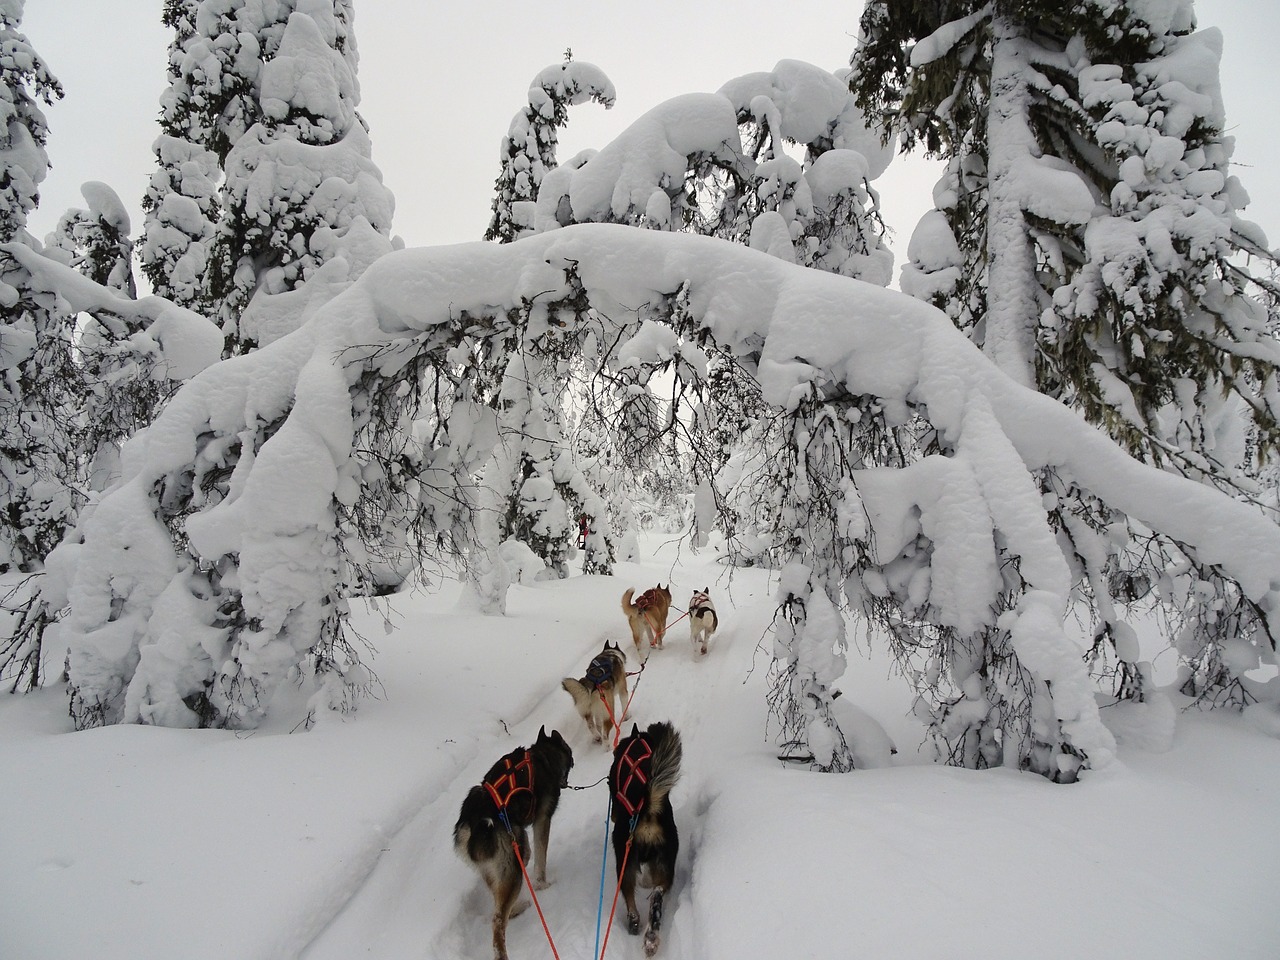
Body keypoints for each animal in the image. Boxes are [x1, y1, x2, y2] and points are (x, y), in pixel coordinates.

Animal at [450, 727, 570, 960]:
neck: (542, 756)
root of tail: (473, 824)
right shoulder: (543, 819)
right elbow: (541, 858)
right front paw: (542, 884)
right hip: (513, 861)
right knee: (498, 922)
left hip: (498, 867)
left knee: (500, 906)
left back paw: (517, 908)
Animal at [606, 721, 680, 957]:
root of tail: (648, 810)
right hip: (666, 862)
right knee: (657, 895)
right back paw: (651, 936)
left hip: (623, 858)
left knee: (630, 898)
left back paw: (635, 923)